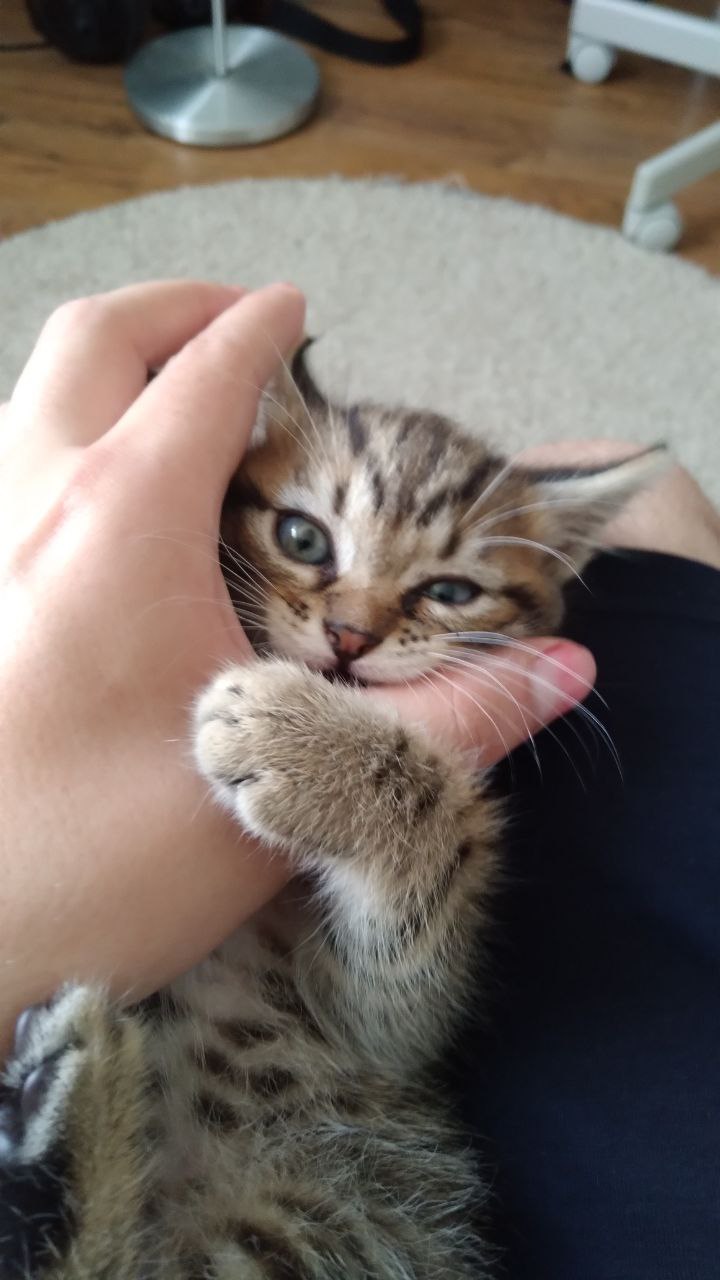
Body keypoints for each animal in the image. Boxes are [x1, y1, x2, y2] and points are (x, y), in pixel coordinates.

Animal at [0, 344, 665, 1279]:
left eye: (451, 591)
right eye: (302, 537)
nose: (351, 637)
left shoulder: (382, 1034)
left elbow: (433, 877)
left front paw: (299, 742)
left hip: (308, 1215)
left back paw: (60, 1145)